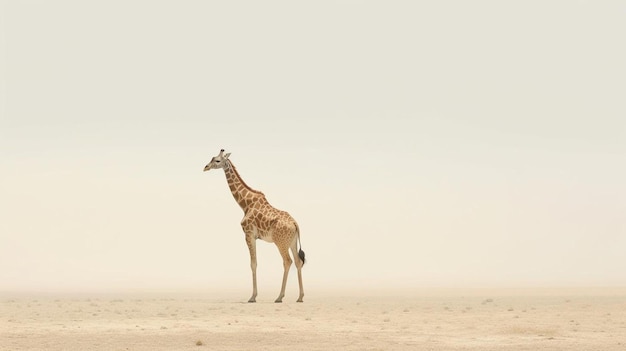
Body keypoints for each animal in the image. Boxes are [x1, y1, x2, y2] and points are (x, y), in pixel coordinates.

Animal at [204, 150, 304, 304]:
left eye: (217, 161)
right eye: (212, 158)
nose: (206, 167)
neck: (245, 204)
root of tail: (295, 224)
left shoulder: (249, 234)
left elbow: (253, 264)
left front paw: (252, 297)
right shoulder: (254, 236)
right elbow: (254, 263)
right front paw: (254, 296)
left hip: (280, 243)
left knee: (288, 261)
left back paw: (279, 297)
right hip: (292, 242)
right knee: (298, 262)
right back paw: (300, 297)